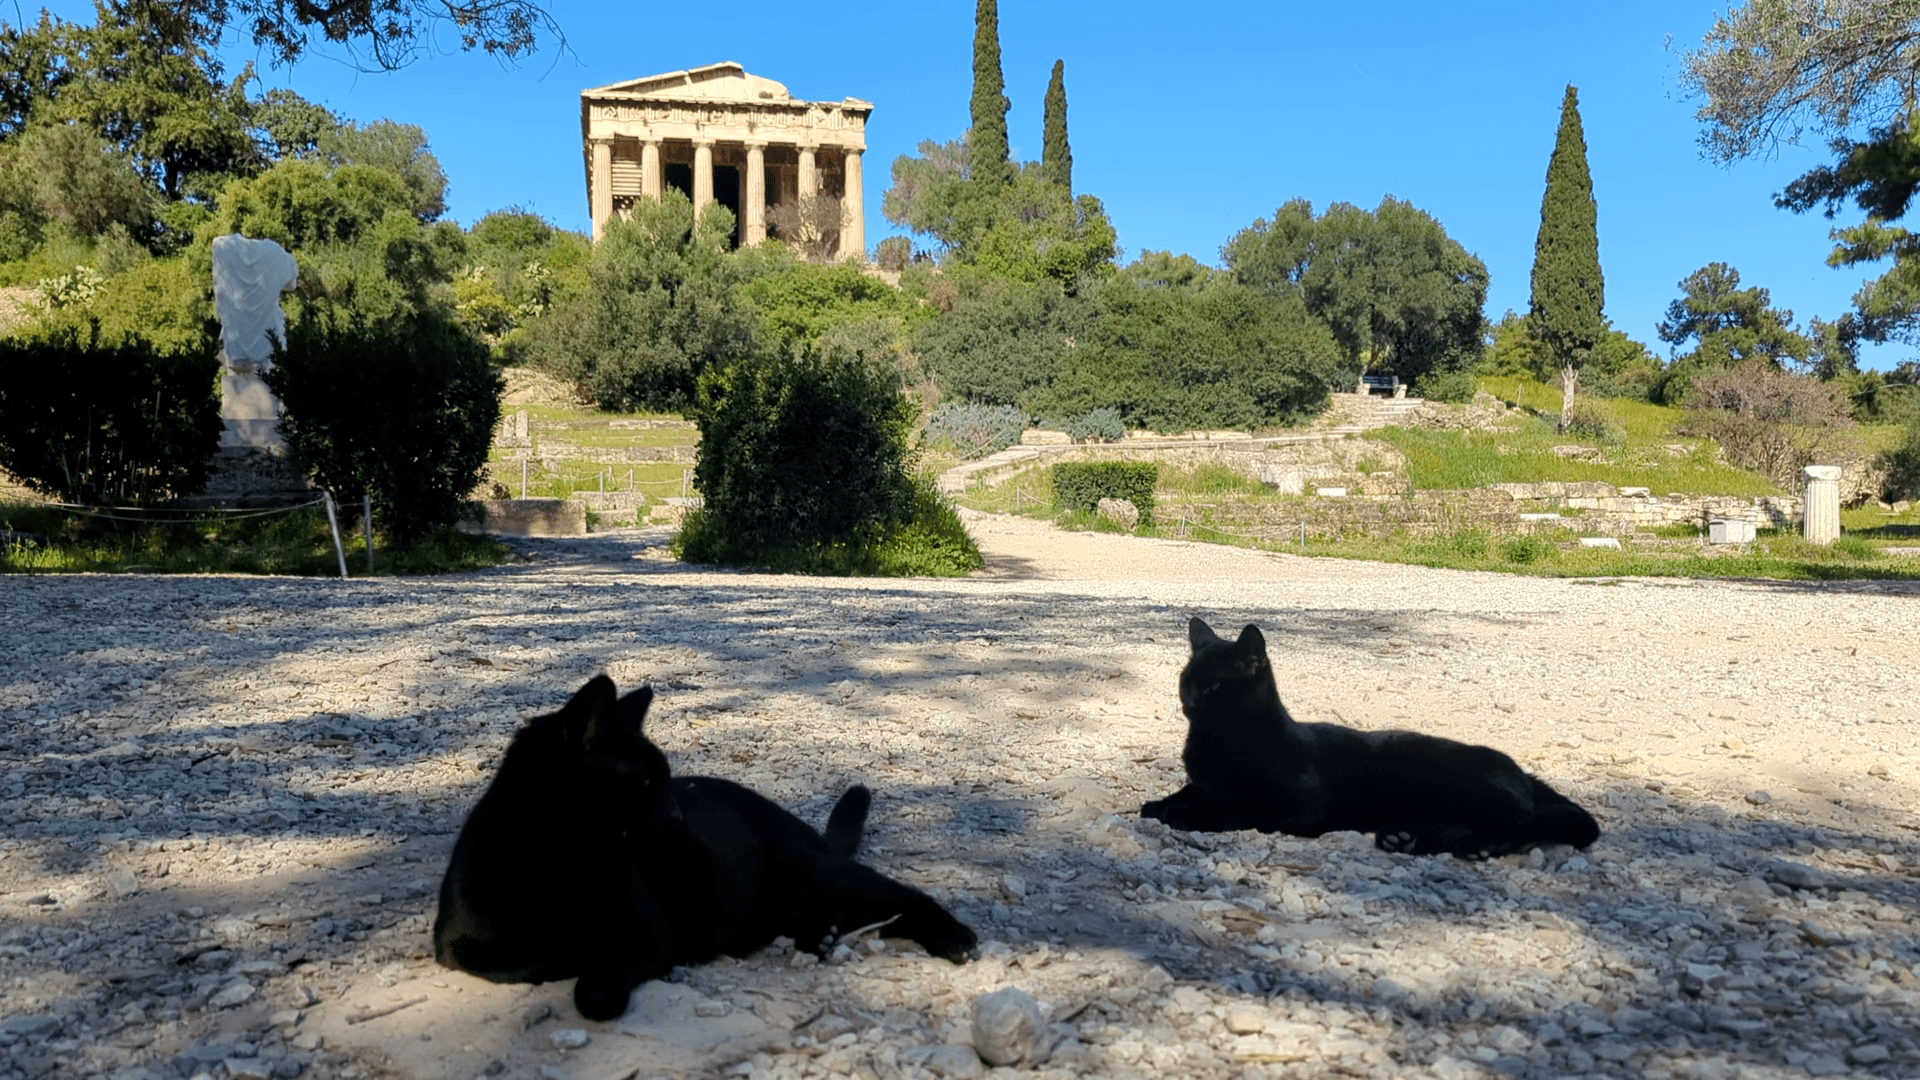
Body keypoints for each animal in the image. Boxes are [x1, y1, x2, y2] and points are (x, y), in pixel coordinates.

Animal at [435, 672, 975, 1014]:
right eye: (647, 782)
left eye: (667, 779)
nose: (677, 814)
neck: (559, 858)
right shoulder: (455, 947)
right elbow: (531, 957)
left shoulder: (648, 936)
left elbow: (593, 988)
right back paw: (816, 936)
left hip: (823, 876)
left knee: (905, 898)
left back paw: (953, 937)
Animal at [1136, 614, 1605, 857]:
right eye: (1186, 681)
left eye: (1215, 686)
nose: (1189, 703)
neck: (1219, 743)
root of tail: (1523, 773)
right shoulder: (1203, 781)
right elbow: (1193, 791)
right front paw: (1162, 804)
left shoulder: (1300, 804)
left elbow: (1239, 807)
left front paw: (1187, 815)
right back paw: (1405, 838)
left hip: (1454, 782)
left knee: (1522, 821)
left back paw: (1479, 845)